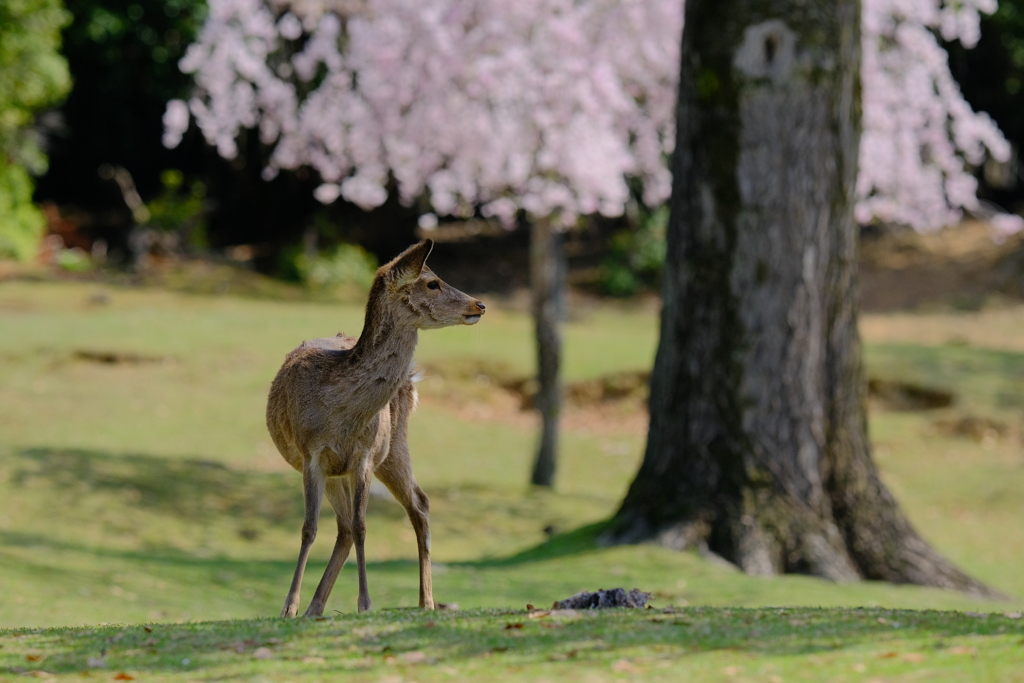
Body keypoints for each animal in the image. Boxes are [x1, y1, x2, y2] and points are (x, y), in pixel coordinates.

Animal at [266, 237, 485, 618]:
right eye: (432, 282)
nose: (480, 304)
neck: (339, 413)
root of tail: (412, 380)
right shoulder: (312, 455)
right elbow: (310, 528)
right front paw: (289, 607)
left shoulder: (365, 456)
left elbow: (362, 526)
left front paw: (365, 603)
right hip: (343, 469)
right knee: (345, 527)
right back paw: (314, 607)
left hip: (394, 444)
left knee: (417, 503)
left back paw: (426, 601)